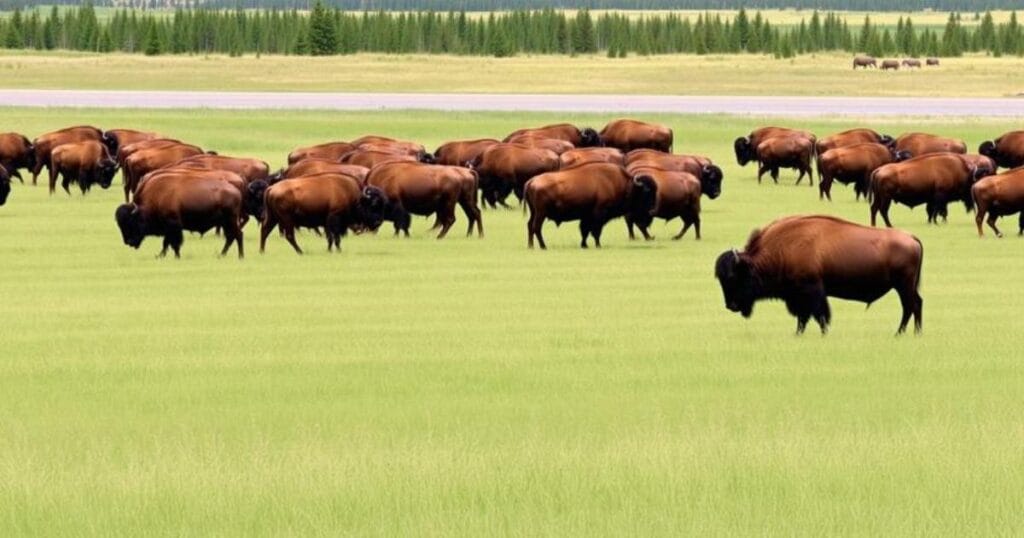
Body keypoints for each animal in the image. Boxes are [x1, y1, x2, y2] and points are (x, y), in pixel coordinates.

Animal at [524, 163, 657, 249]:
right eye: (647, 191)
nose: (652, 209)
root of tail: (531, 181)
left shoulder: (586, 216)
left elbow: (585, 231)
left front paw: (584, 245)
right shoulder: (599, 214)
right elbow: (596, 231)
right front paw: (598, 245)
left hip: (534, 212)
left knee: (530, 225)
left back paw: (531, 246)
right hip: (541, 213)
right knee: (536, 227)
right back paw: (543, 246)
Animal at [715, 215, 923, 335]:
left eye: (733, 277)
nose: (731, 305)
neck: (783, 249)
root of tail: (911, 238)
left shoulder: (811, 292)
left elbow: (819, 315)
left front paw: (822, 333)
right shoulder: (799, 297)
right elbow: (804, 318)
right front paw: (799, 334)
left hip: (903, 285)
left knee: (909, 306)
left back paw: (899, 333)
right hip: (908, 286)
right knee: (917, 304)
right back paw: (916, 333)